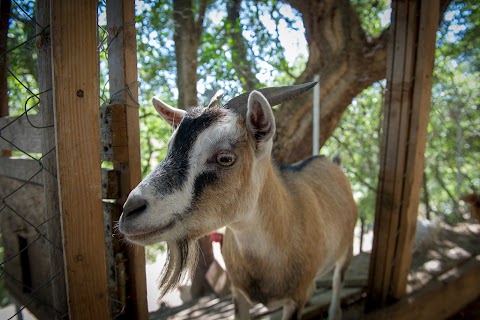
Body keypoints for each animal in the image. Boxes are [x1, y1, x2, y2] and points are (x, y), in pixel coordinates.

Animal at [118, 83, 358, 320]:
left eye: (225, 158)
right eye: (170, 149)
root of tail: (332, 163)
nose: (130, 212)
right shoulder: (238, 293)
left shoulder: (294, 299)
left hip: (346, 251)